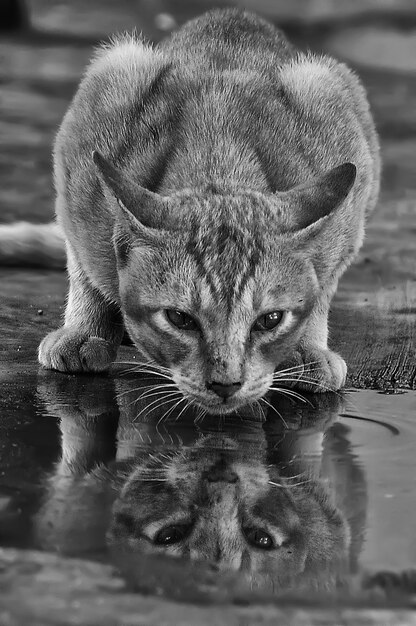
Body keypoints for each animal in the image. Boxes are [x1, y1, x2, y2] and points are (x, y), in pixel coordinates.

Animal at [31, 8, 380, 414]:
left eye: (270, 320)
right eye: (180, 319)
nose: (226, 385)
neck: (220, 157)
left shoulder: (351, 191)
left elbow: (322, 285)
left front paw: (307, 349)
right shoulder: (79, 160)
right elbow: (82, 270)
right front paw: (86, 330)